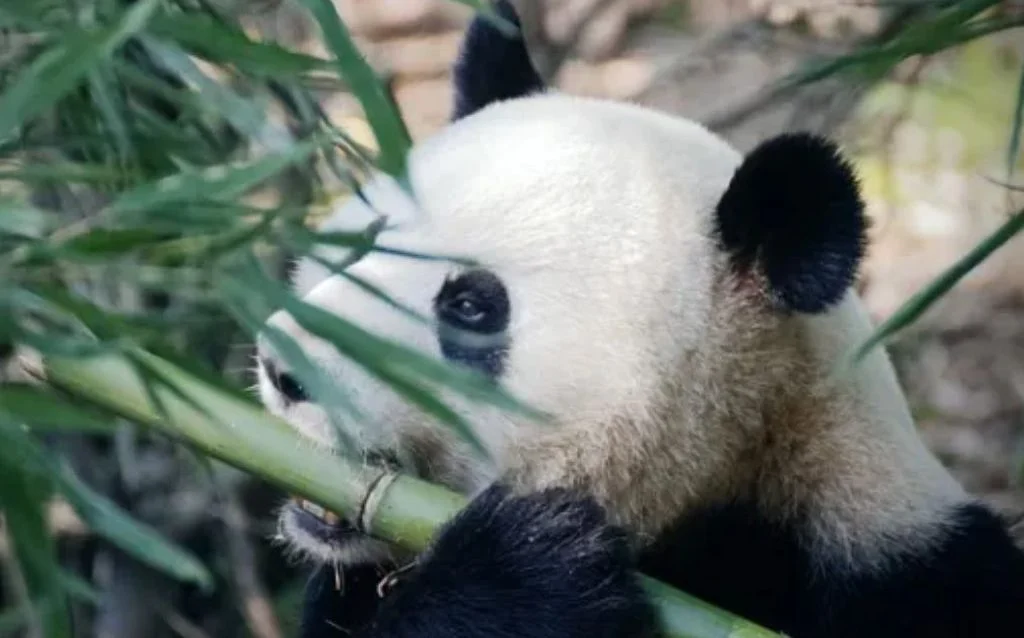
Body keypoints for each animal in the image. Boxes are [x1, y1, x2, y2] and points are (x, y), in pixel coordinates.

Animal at [254, 2, 1024, 637]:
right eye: (365, 242)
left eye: (470, 307)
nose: (285, 368)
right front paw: (525, 573)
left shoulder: (903, 571)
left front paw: (525, 565)